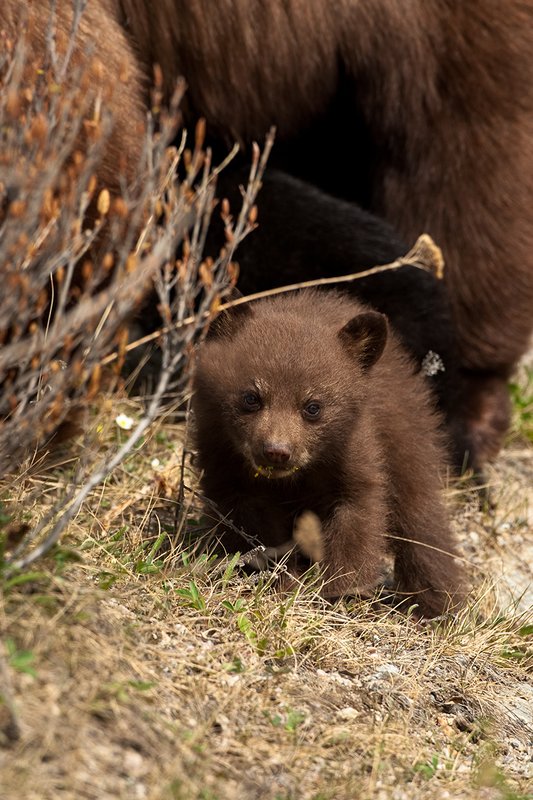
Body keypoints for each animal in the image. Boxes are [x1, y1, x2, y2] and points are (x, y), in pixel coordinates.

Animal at [191, 289, 467, 618]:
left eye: (313, 406)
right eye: (251, 397)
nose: (277, 451)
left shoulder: (355, 450)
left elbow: (357, 514)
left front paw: (340, 590)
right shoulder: (222, 454)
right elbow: (244, 519)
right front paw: (276, 576)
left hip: (408, 441)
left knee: (422, 521)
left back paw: (438, 605)